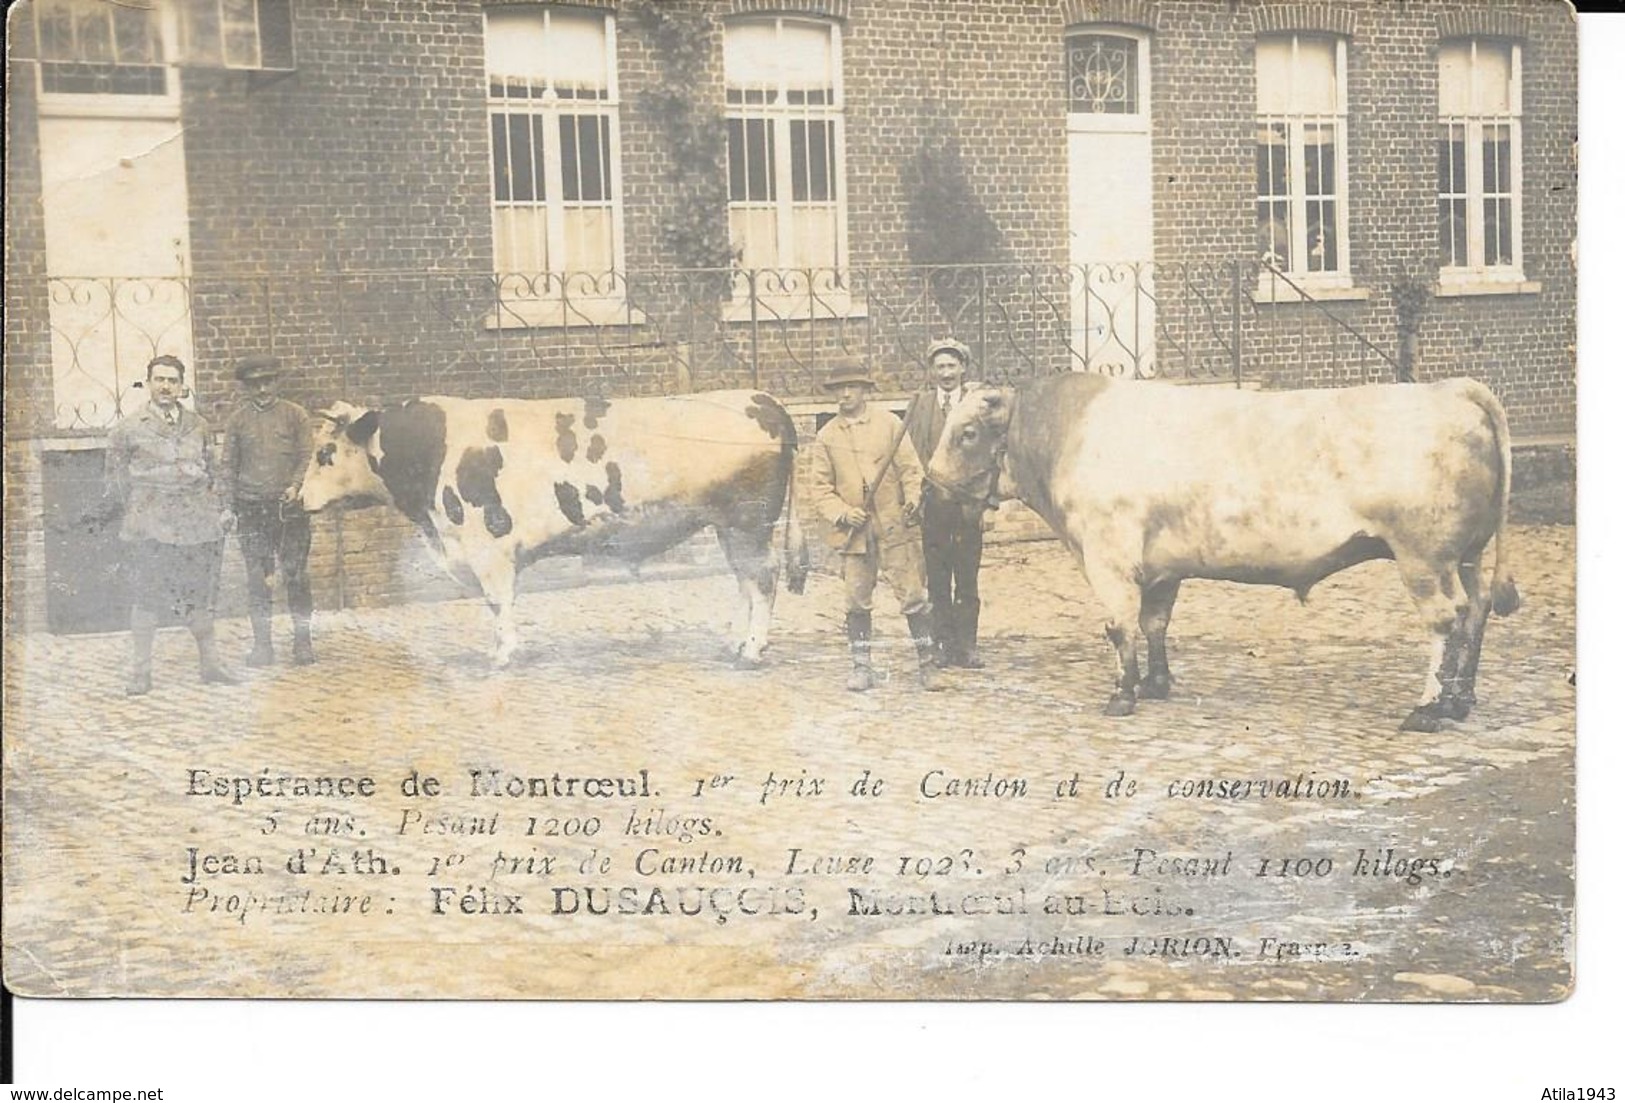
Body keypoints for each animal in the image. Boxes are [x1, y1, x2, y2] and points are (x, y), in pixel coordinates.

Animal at [299, 389, 806, 666]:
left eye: (325, 452)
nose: (294, 497)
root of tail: (762, 400)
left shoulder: (490, 548)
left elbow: (498, 603)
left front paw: (503, 655)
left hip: (748, 524)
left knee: (762, 577)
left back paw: (752, 650)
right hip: (730, 528)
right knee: (745, 583)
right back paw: (736, 642)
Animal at [936, 373, 1514, 734]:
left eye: (967, 433)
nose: (934, 485)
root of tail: (1450, 389)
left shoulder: (1108, 555)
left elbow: (1119, 625)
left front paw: (1122, 694)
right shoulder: (1161, 567)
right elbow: (1154, 623)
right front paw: (1156, 683)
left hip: (1423, 557)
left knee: (1446, 620)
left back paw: (1428, 708)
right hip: (1467, 553)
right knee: (1477, 609)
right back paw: (1461, 700)